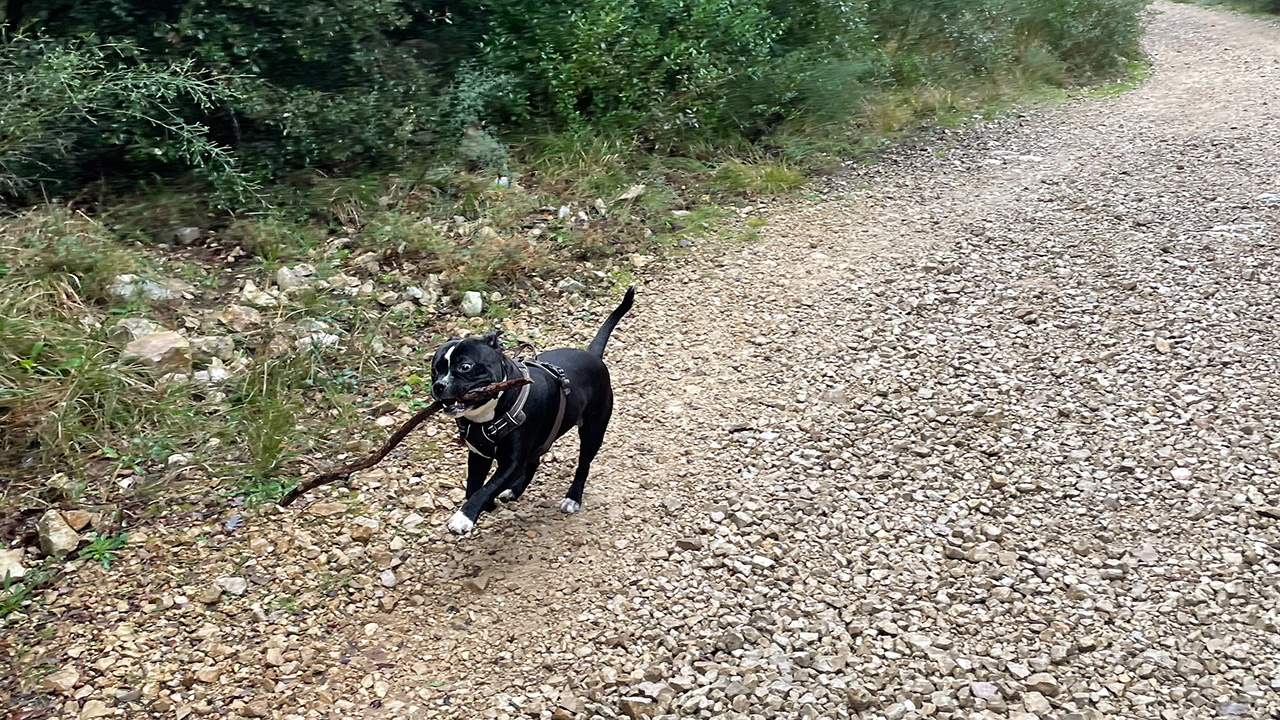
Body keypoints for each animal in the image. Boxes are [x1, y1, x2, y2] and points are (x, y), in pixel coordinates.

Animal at [430, 285, 634, 532]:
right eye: (434, 370)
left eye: (465, 367)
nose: (439, 385)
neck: (489, 414)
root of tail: (592, 355)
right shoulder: (479, 455)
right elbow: (474, 488)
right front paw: (484, 506)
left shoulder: (511, 462)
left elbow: (486, 488)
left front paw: (464, 516)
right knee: (534, 461)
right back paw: (514, 490)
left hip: (593, 431)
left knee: (583, 465)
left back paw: (572, 497)